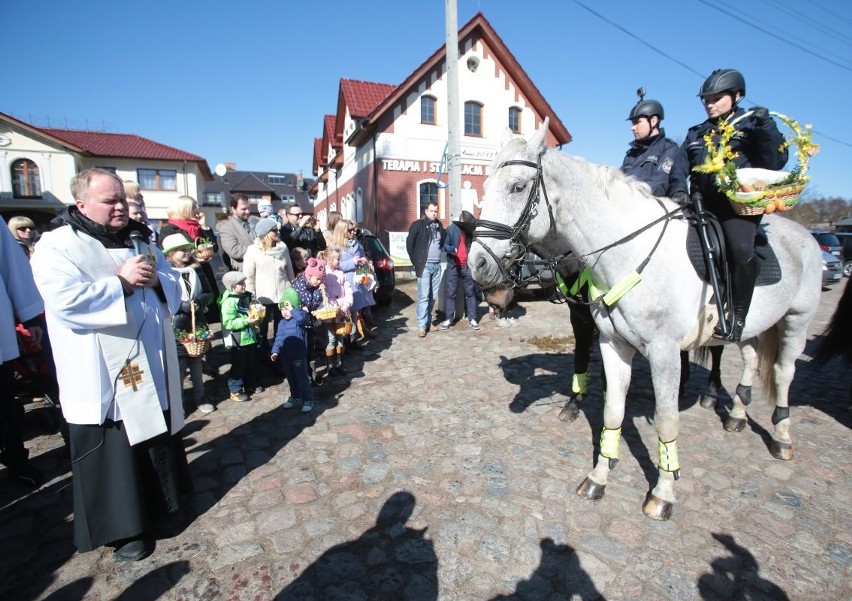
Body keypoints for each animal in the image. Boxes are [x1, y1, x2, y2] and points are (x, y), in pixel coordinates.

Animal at [470, 119, 824, 516]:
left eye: (518, 186)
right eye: (486, 187)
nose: (478, 265)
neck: (629, 252)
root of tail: (803, 234)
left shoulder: (664, 353)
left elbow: (667, 422)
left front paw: (663, 492)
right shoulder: (613, 344)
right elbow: (612, 409)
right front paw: (599, 476)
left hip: (797, 321)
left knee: (782, 373)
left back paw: (781, 436)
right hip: (751, 329)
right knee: (750, 359)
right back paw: (735, 414)